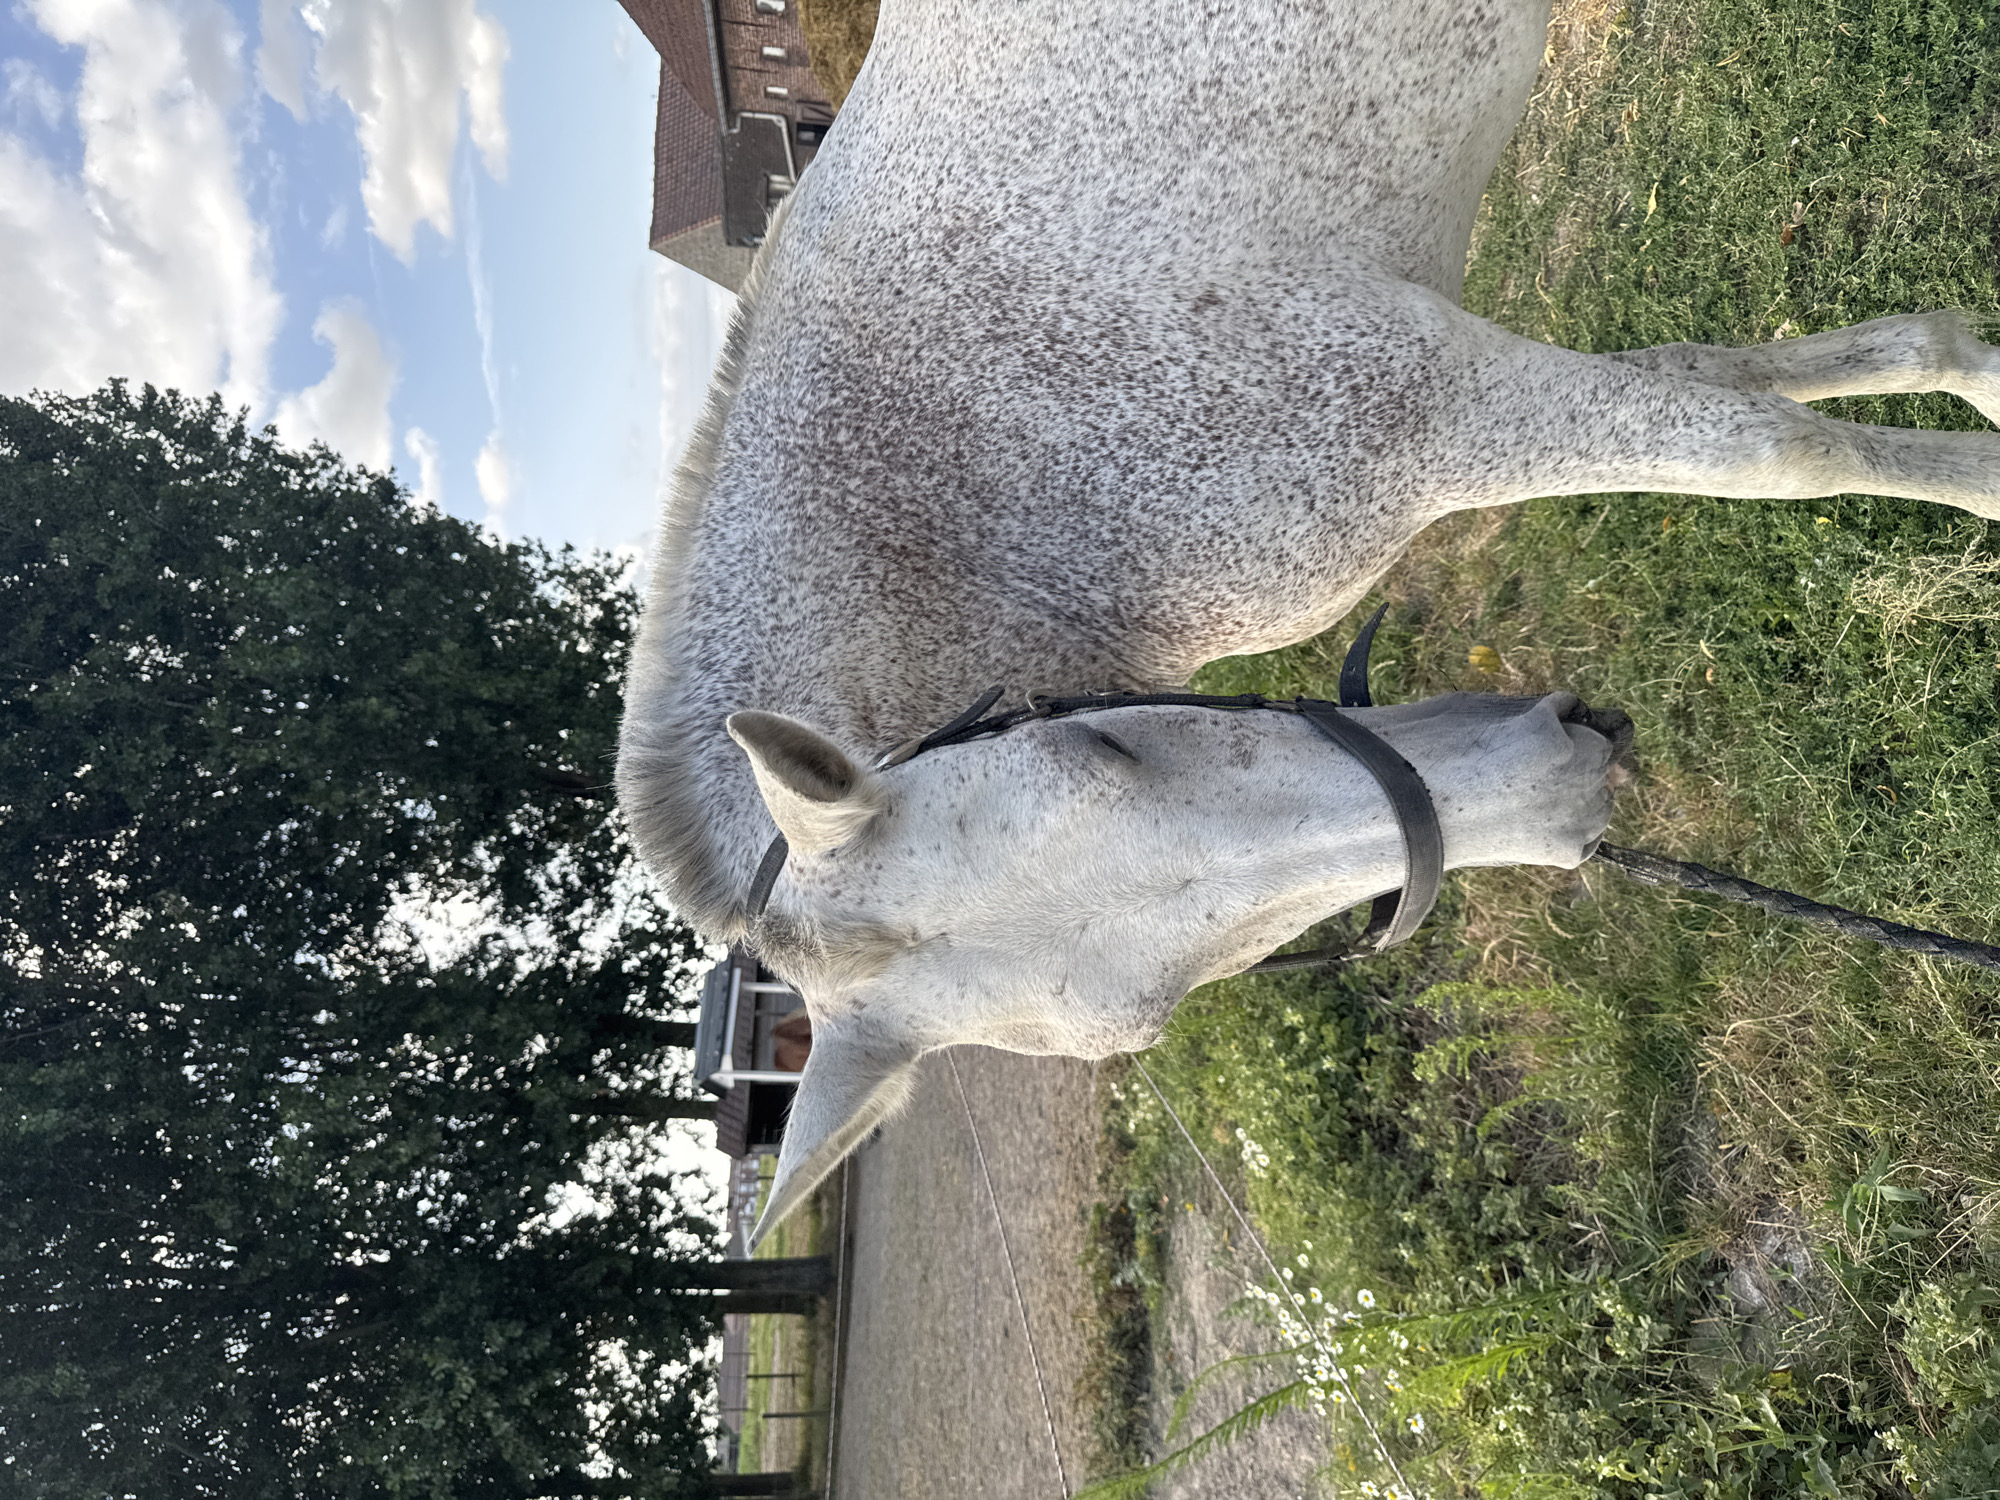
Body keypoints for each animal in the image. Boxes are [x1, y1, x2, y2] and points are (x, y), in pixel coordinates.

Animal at [617, 0, 2000, 1243]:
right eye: (1157, 1014)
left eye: (1100, 747)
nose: (1566, 786)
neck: (968, 494)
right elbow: (1737, 376)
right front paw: (1962, 365)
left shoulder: (1444, 402)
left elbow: (1775, 447)